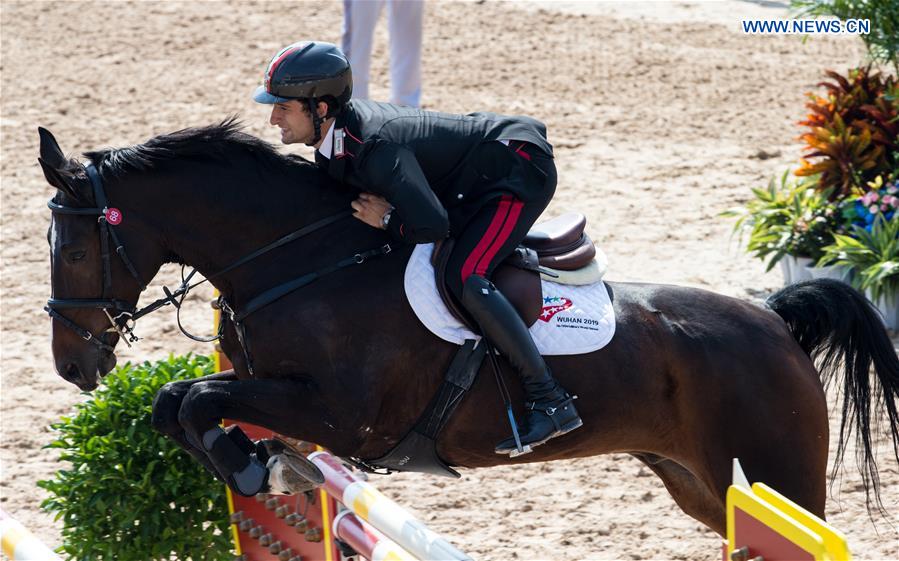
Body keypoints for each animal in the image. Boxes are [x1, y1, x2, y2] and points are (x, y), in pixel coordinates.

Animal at [42, 121, 899, 532]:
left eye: (76, 247)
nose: (72, 366)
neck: (305, 260)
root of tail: (772, 322)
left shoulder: (343, 415)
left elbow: (194, 399)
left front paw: (259, 470)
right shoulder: (271, 387)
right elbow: (179, 401)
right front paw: (261, 464)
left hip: (780, 477)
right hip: (698, 481)